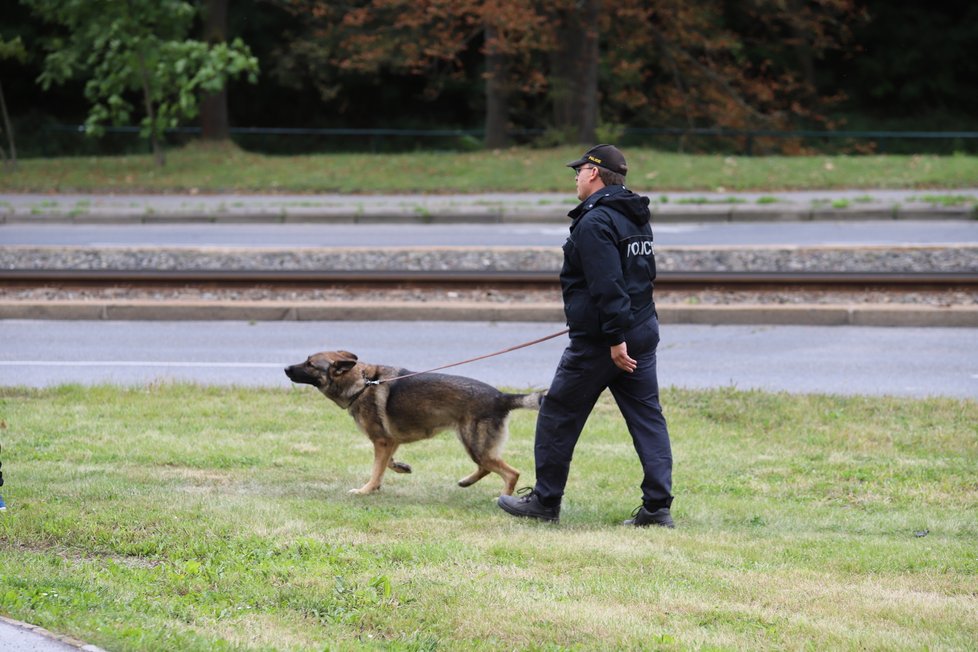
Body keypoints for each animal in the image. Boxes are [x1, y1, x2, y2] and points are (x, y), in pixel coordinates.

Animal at [282, 352, 544, 494]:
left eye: (310, 364)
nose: (284, 367)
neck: (363, 383)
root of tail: (501, 396)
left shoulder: (382, 441)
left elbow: (376, 469)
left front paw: (366, 490)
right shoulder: (390, 441)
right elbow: (385, 464)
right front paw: (399, 468)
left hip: (475, 445)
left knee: (510, 473)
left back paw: (502, 496)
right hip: (473, 445)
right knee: (487, 467)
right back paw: (467, 481)